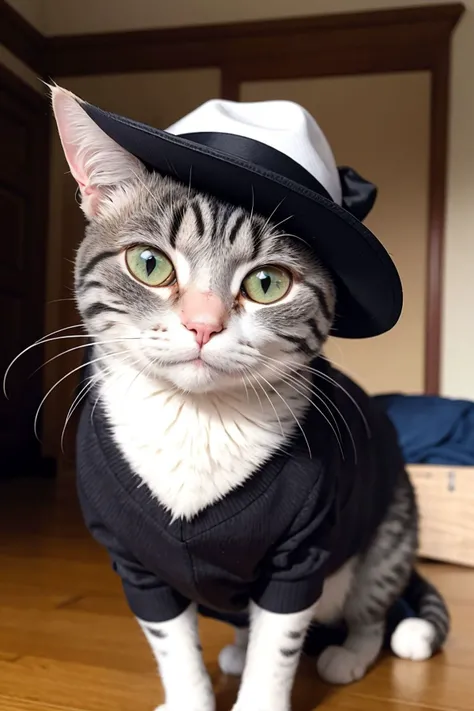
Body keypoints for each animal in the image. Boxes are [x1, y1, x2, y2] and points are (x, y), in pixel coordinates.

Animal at [50, 87, 450, 711]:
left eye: (267, 284)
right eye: (149, 263)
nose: (203, 324)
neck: (195, 422)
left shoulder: (301, 555)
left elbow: (277, 647)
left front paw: (261, 691)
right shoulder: (135, 565)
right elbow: (173, 648)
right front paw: (189, 697)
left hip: (388, 531)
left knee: (371, 611)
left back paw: (348, 653)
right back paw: (237, 648)